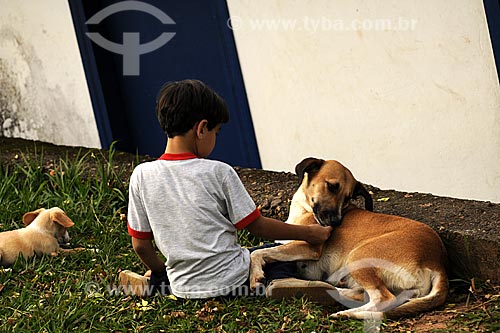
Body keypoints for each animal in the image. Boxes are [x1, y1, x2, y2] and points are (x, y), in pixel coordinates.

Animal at [250, 158, 450, 320]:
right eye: (331, 186)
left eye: (347, 198)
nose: (336, 222)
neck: (305, 209)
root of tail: (437, 263)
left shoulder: (309, 248)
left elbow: (259, 252)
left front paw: (255, 275)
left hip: (359, 255)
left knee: (384, 299)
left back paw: (346, 313)